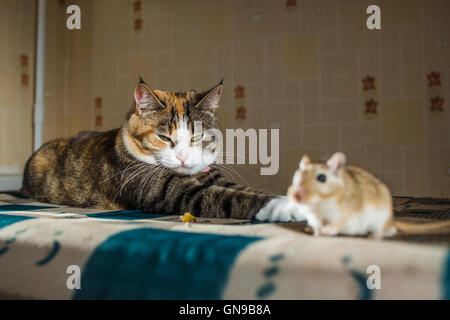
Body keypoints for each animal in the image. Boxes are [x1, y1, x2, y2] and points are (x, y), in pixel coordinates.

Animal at [21, 78, 310, 222]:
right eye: (163, 137)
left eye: (197, 136)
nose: (182, 157)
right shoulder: (165, 189)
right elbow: (227, 198)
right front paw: (288, 208)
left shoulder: (211, 176)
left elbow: (244, 189)